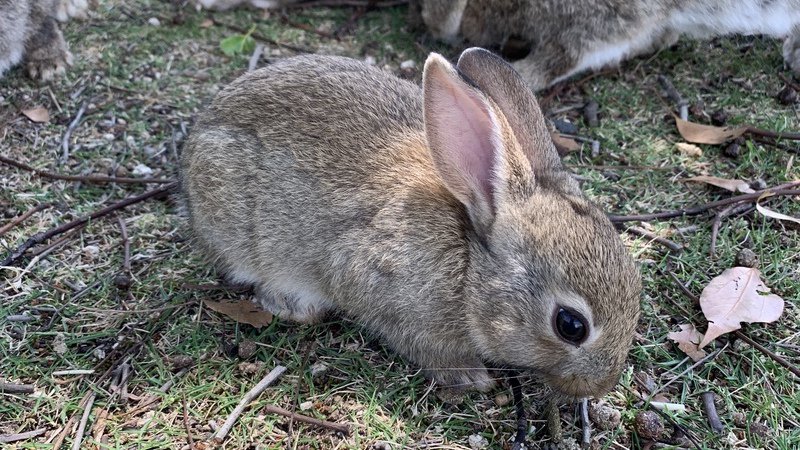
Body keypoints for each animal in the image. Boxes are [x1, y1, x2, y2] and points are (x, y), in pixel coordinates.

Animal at [180, 47, 642, 397]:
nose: (602, 385)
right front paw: (470, 377)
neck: (470, 269)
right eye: (571, 326)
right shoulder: (379, 288)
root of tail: (201, 131)